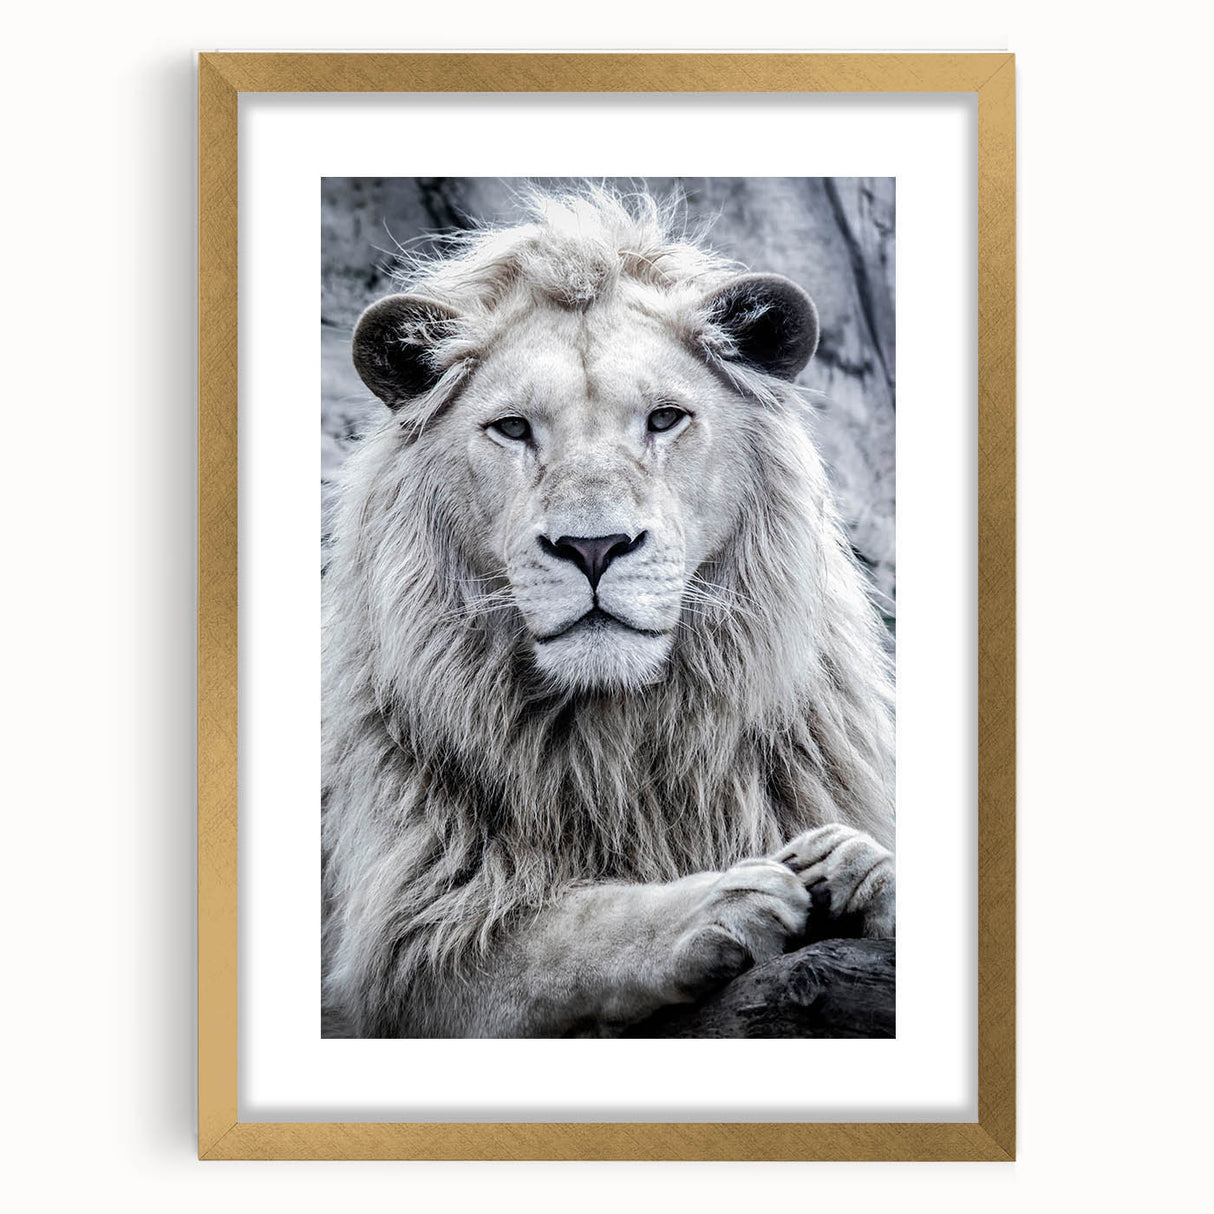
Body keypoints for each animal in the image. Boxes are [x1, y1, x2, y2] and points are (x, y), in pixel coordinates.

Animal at [322, 188, 895, 1038]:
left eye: (664, 419)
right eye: (513, 428)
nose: (593, 549)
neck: (618, 741)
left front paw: (860, 866)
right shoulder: (411, 948)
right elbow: (563, 931)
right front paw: (720, 900)